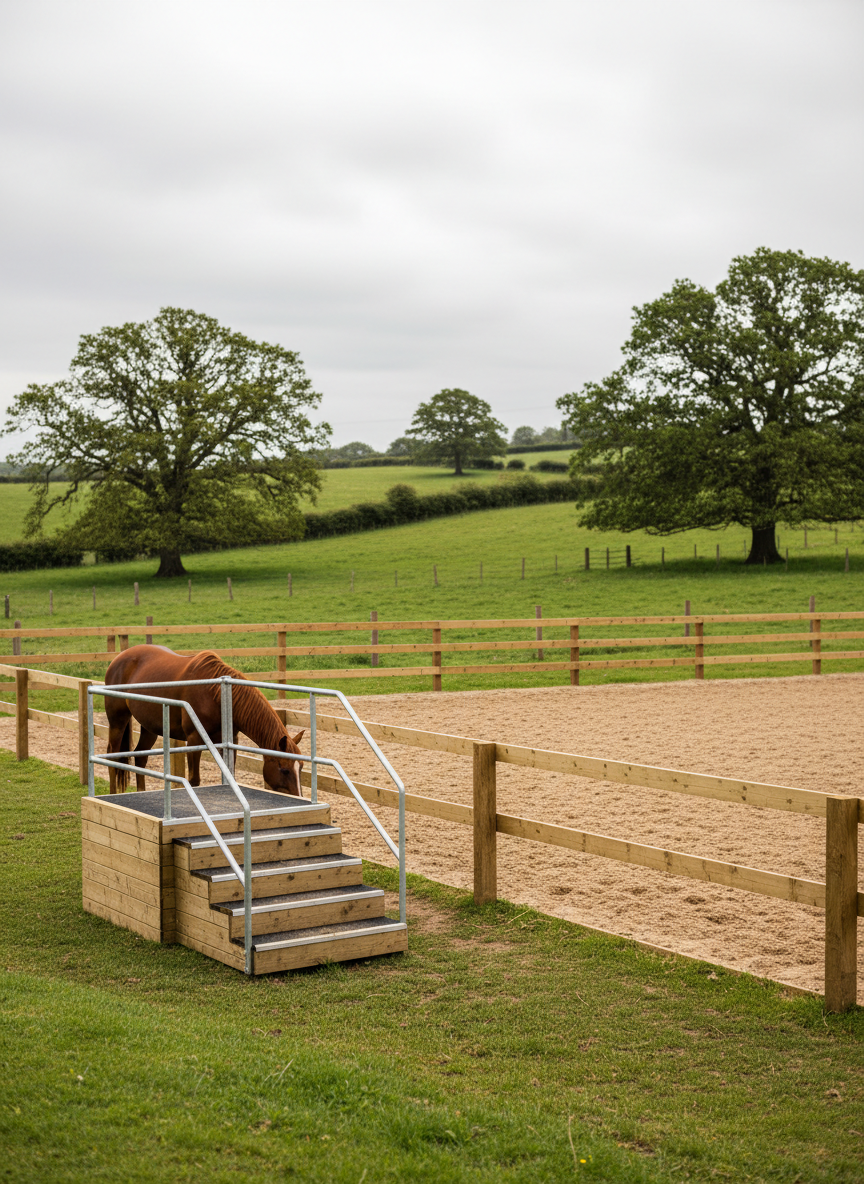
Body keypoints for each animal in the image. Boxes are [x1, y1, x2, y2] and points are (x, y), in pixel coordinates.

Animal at [103, 645, 305, 796]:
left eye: (301, 767)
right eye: (284, 770)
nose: (299, 797)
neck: (216, 695)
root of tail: (118, 659)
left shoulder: (230, 741)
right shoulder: (194, 740)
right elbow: (194, 780)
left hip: (150, 727)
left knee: (140, 758)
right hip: (118, 721)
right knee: (112, 754)